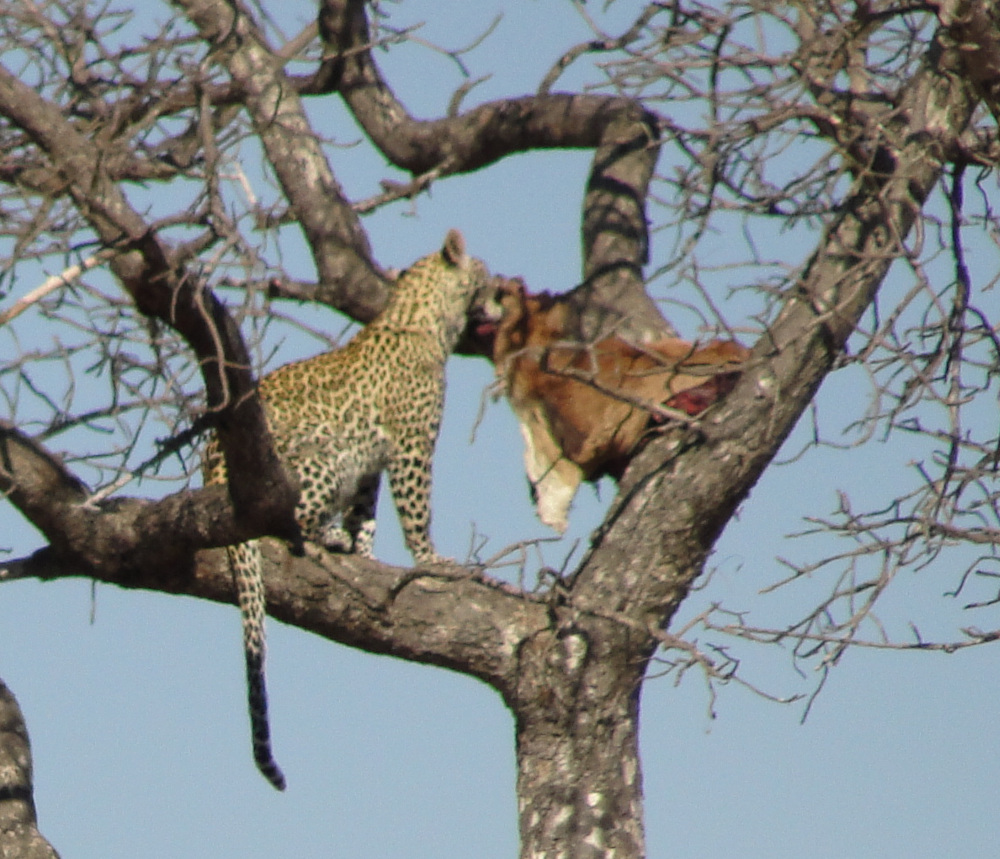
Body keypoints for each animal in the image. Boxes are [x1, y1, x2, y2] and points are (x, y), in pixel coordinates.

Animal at [202, 229, 495, 790]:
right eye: (487, 276)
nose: (501, 301)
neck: (427, 322)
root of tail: (211, 476)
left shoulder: (372, 466)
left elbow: (369, 515)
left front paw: (367, 556)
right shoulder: (411, 447)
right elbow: (417, 512)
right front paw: (431, 560)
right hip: (322, 456)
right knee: (285, 527)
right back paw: (323, 537)